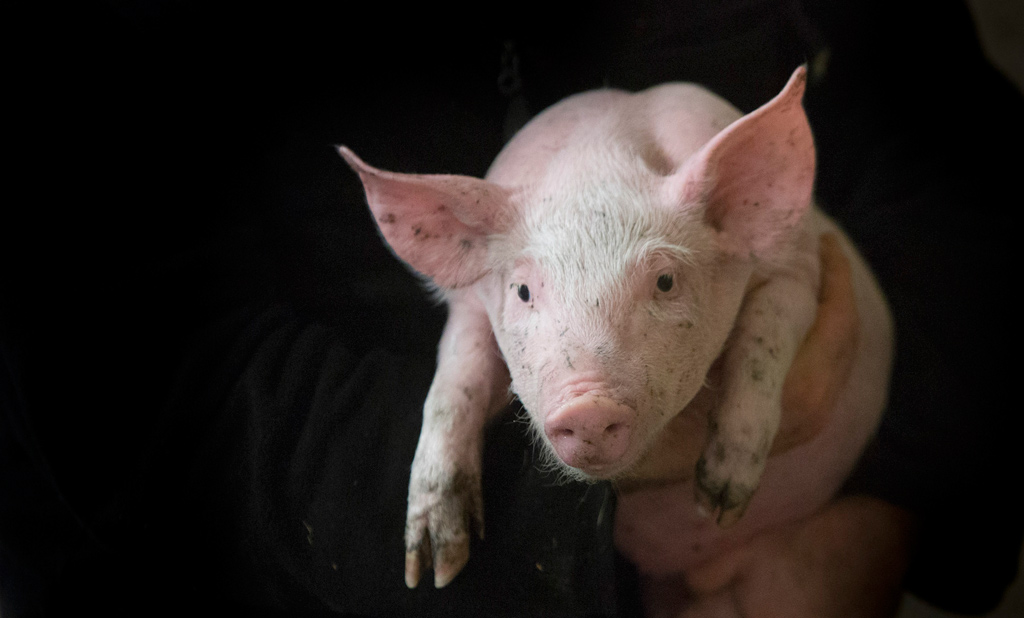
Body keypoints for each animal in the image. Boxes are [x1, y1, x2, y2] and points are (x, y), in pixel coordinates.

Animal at [338, 65, 893, 607]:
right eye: (522, 290)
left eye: (665, 281)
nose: (588, 406)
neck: (598, 159)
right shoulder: (469, 306)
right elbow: (455, 386)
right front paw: (434, 569)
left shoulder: (798, 269)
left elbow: (763, 343)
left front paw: (719, 499)